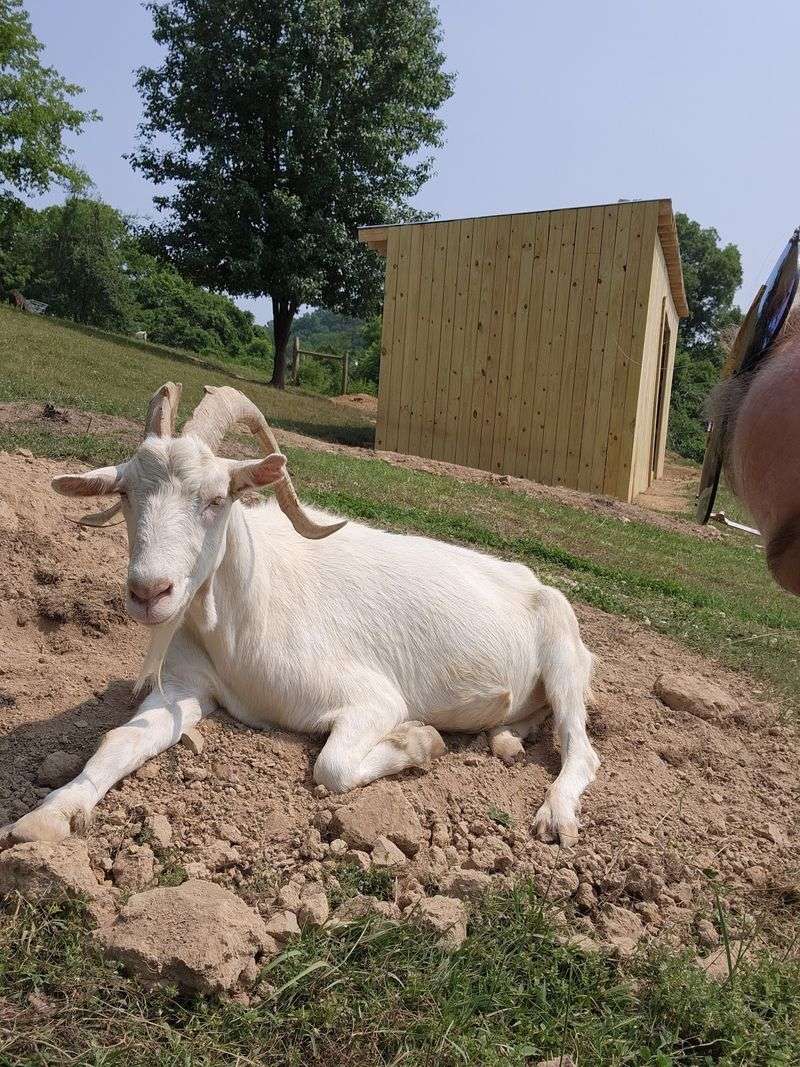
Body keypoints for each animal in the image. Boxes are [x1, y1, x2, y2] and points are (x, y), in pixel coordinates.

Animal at [2, 384, 600, 848]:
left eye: (217, 498)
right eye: (125, 493)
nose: (150, 591)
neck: (247, 620)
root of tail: (532, 580)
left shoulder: (373, 698)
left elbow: (331, 769)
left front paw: (421, 742)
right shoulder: (189, 688)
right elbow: (118, 741)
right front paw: (49, 815)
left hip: (564, 658)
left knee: (580, 745)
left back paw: (555, 815)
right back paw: (506, 737)